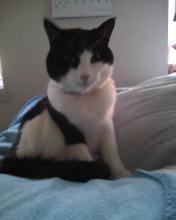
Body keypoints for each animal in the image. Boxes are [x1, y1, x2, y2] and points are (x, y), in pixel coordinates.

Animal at [0, 18, 129, 180]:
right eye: (69, 57)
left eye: (95, 57)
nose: (85, 75)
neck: (84, 99)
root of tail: (11, 153)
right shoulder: (66, 125)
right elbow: (81, 151)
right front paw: (91, 171)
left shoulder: (106, 124)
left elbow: (111, 151)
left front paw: (121, 174)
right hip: (36, 126)